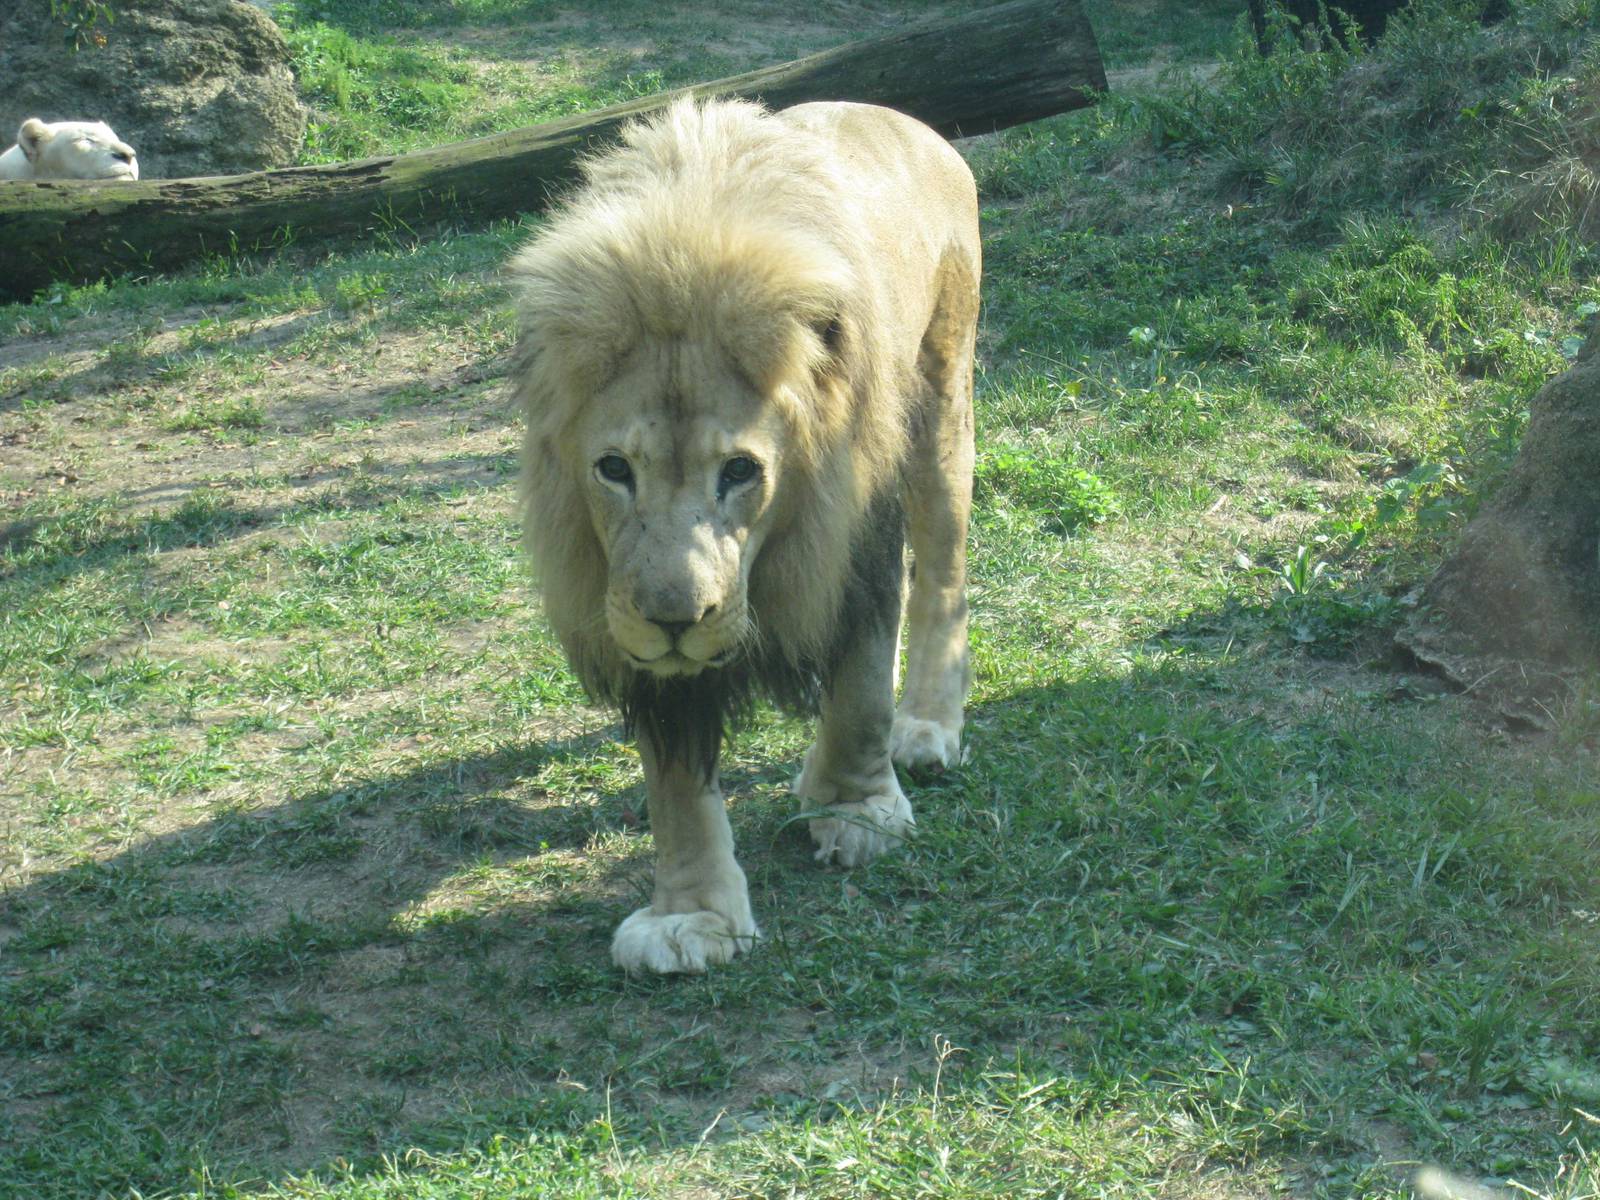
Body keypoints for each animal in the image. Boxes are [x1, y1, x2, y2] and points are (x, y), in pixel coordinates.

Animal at [510, 97, 979, 974]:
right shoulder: (635, 616)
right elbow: (674, 781)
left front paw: (858, 812)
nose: (674, 620)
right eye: (614, 469)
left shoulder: (854, 546)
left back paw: (928, 727)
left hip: (941, 391)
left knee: (943, 572)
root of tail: (905, 119)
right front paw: (692, 918)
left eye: (740, 471)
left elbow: (861, 688)